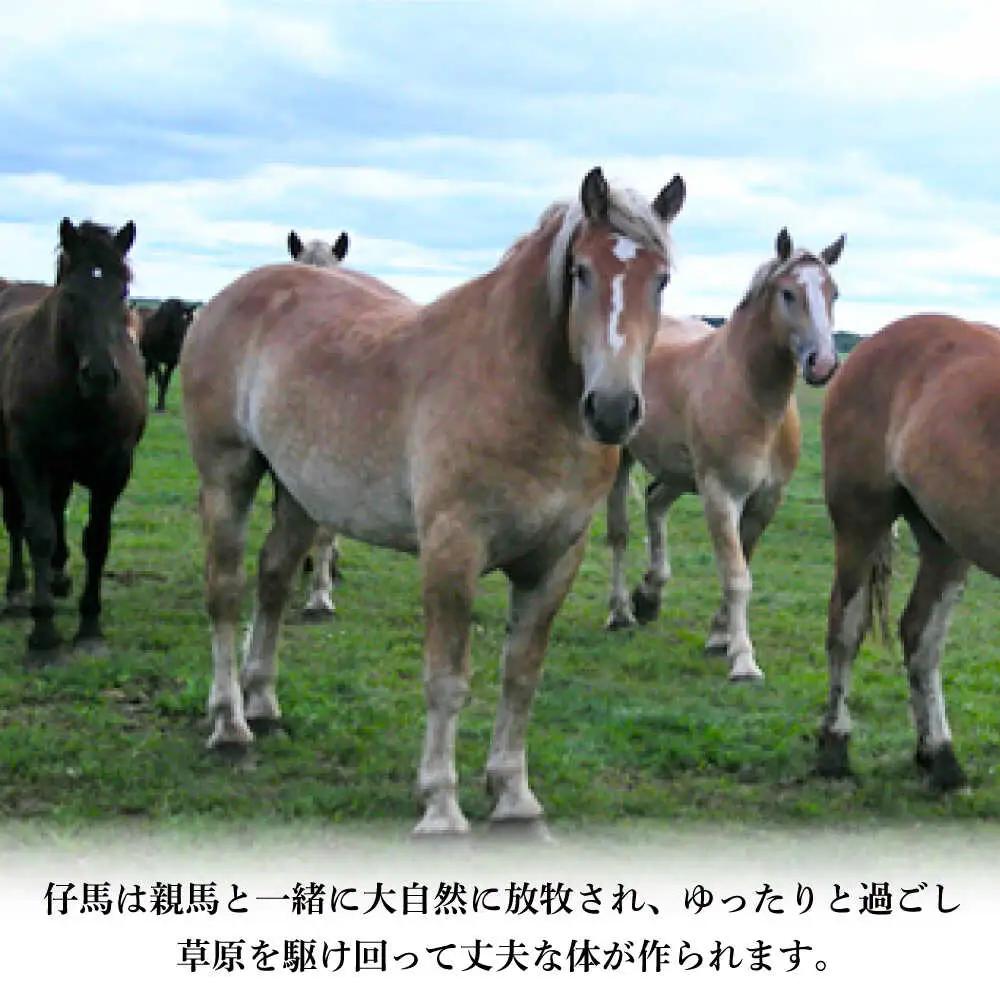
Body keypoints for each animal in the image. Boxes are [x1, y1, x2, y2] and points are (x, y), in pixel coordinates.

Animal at [0, 219, 146, 661]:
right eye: (71, 295)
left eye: (123, 292)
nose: (99, 375)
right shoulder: (27, 460)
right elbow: (38, 533)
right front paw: (43, 631)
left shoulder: (115, 467)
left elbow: (97, 539)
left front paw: (90, 626)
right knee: (16, 521)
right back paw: (17, 592)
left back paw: (59, 577)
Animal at [181, 167, 685, 833]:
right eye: (581, 271)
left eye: (661, 278)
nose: (611, 408)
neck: (520, 391)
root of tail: (227, 297)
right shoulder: (452, 551)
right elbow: (447, 680)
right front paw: (441, 807)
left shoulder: (556, 560)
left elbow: (521, 676)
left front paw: (514, 797)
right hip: (227, 477)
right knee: (226, 593)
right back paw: (231, 726)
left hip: (299, 494)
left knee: (273, 580)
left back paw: (262, 703)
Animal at [605, 228, 845, 681]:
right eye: (788, 293)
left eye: (833, 292)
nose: (822, 364)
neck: (749, 392)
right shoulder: (721, 495)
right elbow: (736, 576)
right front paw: (744, 660)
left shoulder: (764, 501)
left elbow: (742, 563)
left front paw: (720, 637)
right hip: (622, 460)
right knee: (619, 533)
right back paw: (621, 612)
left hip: (679, 475)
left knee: (655, 504)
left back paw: (650, 596)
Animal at [817, 313, 1000, 791]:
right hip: (860, 522)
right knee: (846, 627)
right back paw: (834, 747)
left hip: (945, 541)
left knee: (921, 635)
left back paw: (938, 756)